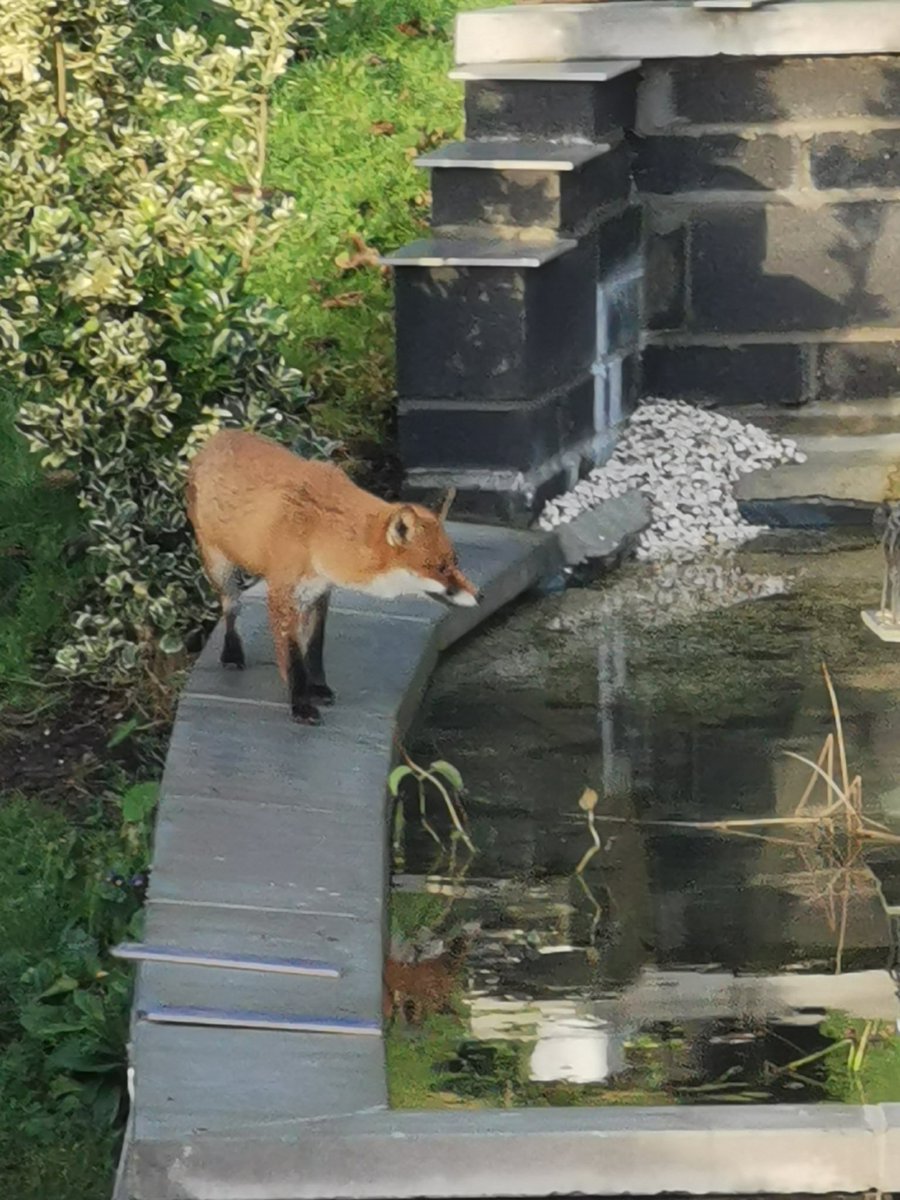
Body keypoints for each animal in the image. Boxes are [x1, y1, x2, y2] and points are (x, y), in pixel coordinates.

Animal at [186, 429, 478, 725]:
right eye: (438, 568)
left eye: (454, 562)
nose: (480, 594)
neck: (318, 533)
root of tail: (218, 435)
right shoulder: (281, 594)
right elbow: (293, 658)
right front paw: (300, 704)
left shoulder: (320, 592)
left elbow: (314, 649)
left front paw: (316, 688)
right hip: (222, 572)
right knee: (231, 609)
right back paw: (232, 652)